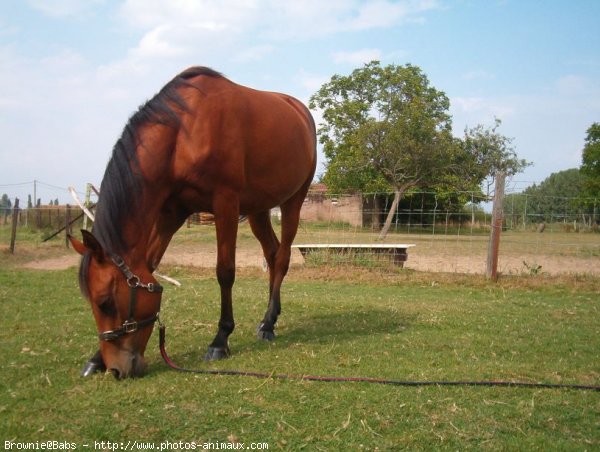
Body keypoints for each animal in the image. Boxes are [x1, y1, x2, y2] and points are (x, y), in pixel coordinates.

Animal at [68, 66, 316, 378]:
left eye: (105, 302)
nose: (115, 369)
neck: (183, 134)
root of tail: (300, 112)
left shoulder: (225, 203)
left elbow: (225, 272)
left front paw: (220, 340)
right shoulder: (171, 212)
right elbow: (149, 265)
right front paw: (95, 359)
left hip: (294, 200)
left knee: (282, 258)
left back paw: (269, 323)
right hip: (258, 209)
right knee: (271, 254)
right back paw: (267, 320)